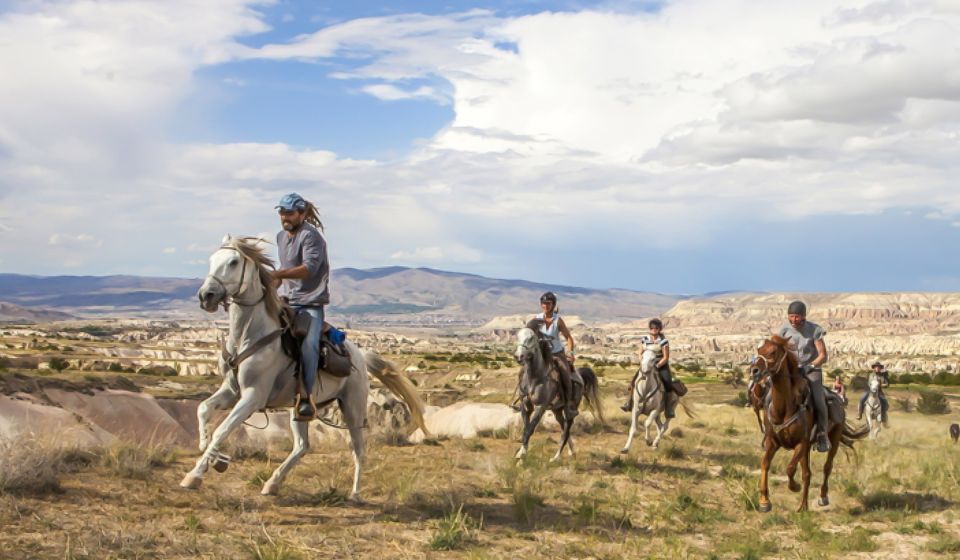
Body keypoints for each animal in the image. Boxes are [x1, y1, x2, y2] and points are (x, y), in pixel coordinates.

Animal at [182, 234, 430, 500]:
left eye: (233, 262)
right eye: (211, 260)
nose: (206, 296)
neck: (247, 337)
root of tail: (361, 356)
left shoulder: (253, 397)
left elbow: (222, 429)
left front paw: (194, 476)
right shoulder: (231, 391)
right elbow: (203, 409)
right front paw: (211, 454)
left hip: (352, 407)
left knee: (358, 449)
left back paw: (355, 493)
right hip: (300, 408)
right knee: (302, 446)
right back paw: (273, 483)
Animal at [512, 322, 604, 462]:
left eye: (531, 338)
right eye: (518, 336)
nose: (519, 356)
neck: (535, 378)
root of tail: (580, 374)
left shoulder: (540, 407)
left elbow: (530, 429)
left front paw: (521, 454)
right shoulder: (525, 407)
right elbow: (526, 429)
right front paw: (522, 451)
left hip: (571, 407)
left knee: (567, 428)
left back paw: (556, 457)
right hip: (557, 410)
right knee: (563, 426)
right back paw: (571, 451)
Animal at [752, 334, 872, 516]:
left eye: (772, 352)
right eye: (759, 349)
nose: (754, 371)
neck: (785, 407)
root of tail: (838, 400)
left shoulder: (801, 443)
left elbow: (790, 469)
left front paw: (794, 487)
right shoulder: (773, 442)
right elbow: (765, 464)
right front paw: (764, 501)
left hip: (833, 440)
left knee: (826, 467)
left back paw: (822, 497)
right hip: (808, 448)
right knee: (807, 473)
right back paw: (803, 506)